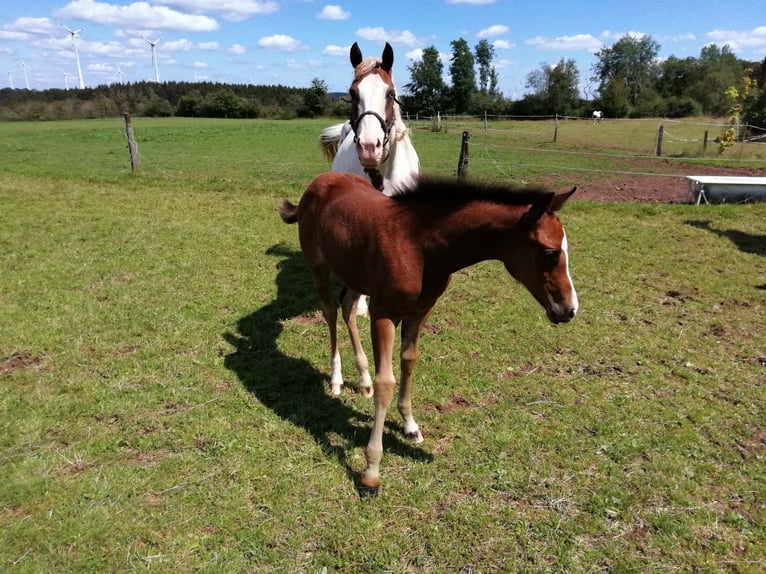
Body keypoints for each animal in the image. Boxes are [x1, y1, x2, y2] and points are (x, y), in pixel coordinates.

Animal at [280, 171, 580, 496]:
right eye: (550, 253)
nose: (569, 309)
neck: (420, 246)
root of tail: (320, 180)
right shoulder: (384, 313)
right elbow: (386, 382)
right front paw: (372, 471)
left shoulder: (420, 311)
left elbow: (409, 361)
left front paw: (410, 425)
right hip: (319, 268)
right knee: (331, 312)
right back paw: (336, 378)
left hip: (354, 272)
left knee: (347, 307)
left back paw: (362, 380)